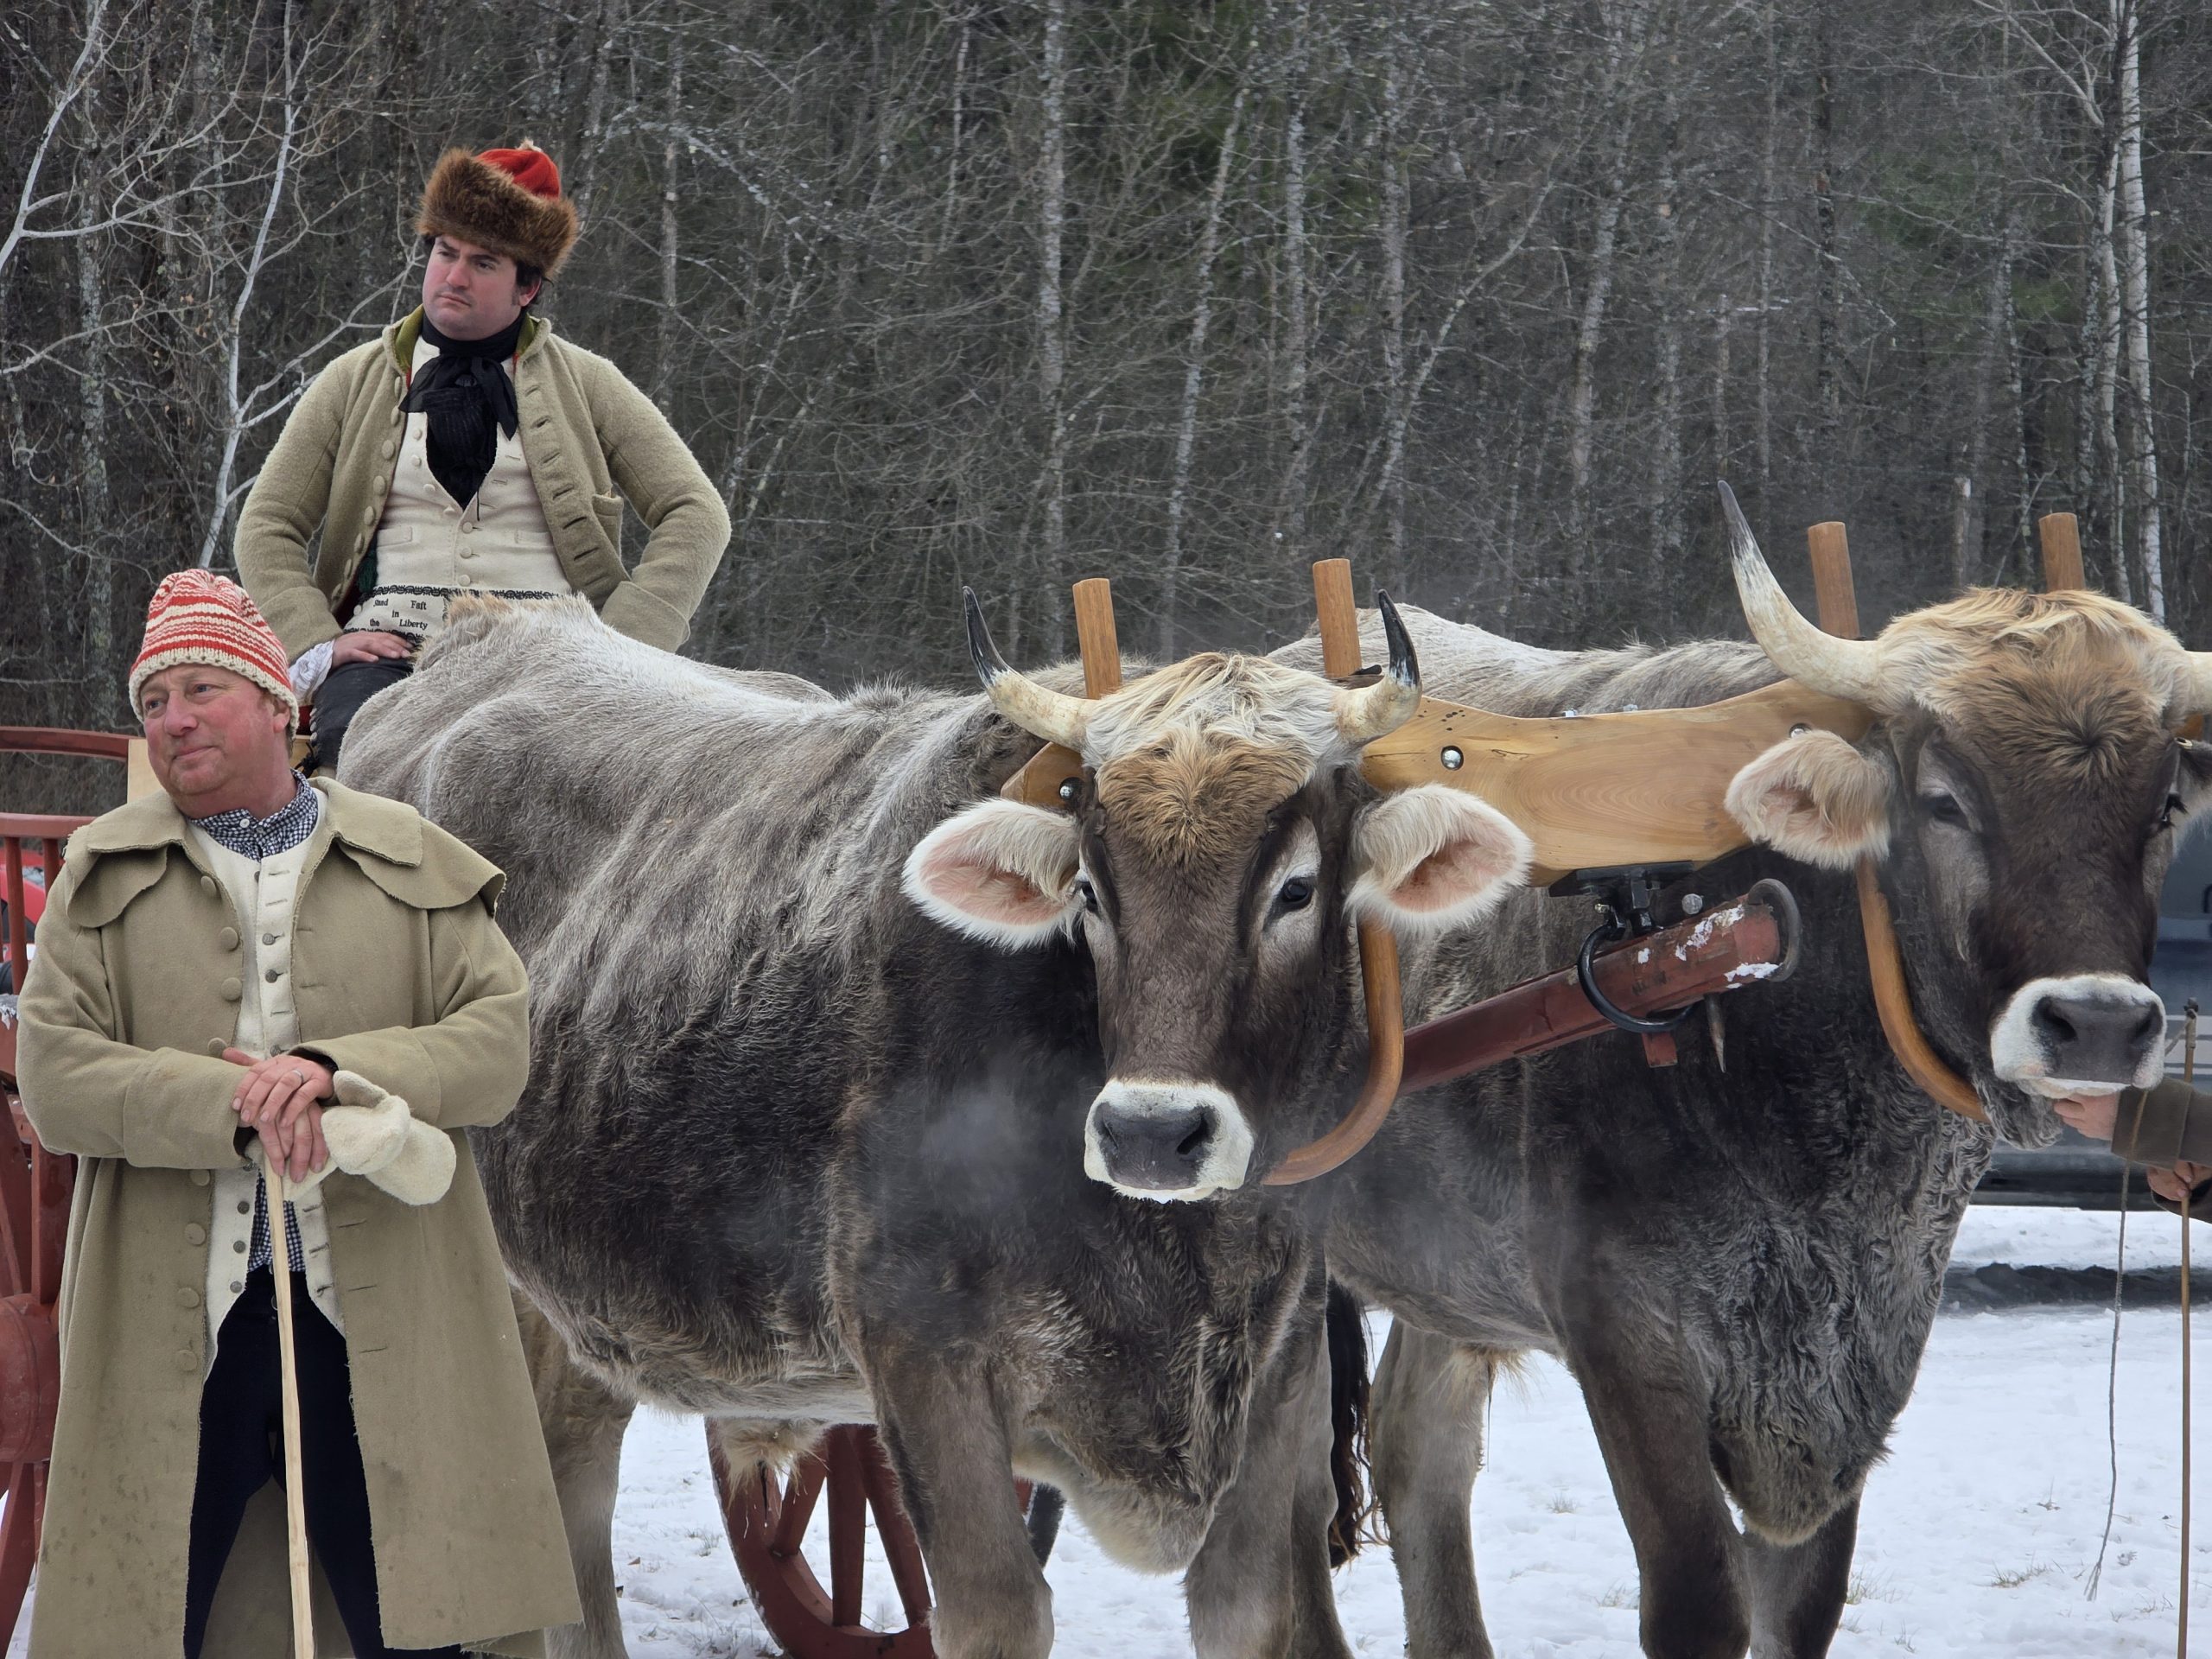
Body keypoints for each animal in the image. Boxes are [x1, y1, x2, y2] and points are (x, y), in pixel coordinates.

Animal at [337, 591, 1534, 1659]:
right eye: (1089, 891)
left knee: (567, 1485)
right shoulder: (921, 1356)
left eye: (1295, 889)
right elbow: (997, 1618)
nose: (1152, 1134)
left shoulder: (1275, 1372)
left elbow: (1250, 1616)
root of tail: (486, 628)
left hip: (573, 1302)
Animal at [1273, 495, 2212, 1659]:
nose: (2095, 1025)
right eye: (1942, 802)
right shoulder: (1627, 1342)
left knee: (1419, 1453)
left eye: (2164, 805)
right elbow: (1697, 1600)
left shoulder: (1856, 1362)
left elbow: (1800, 1603)